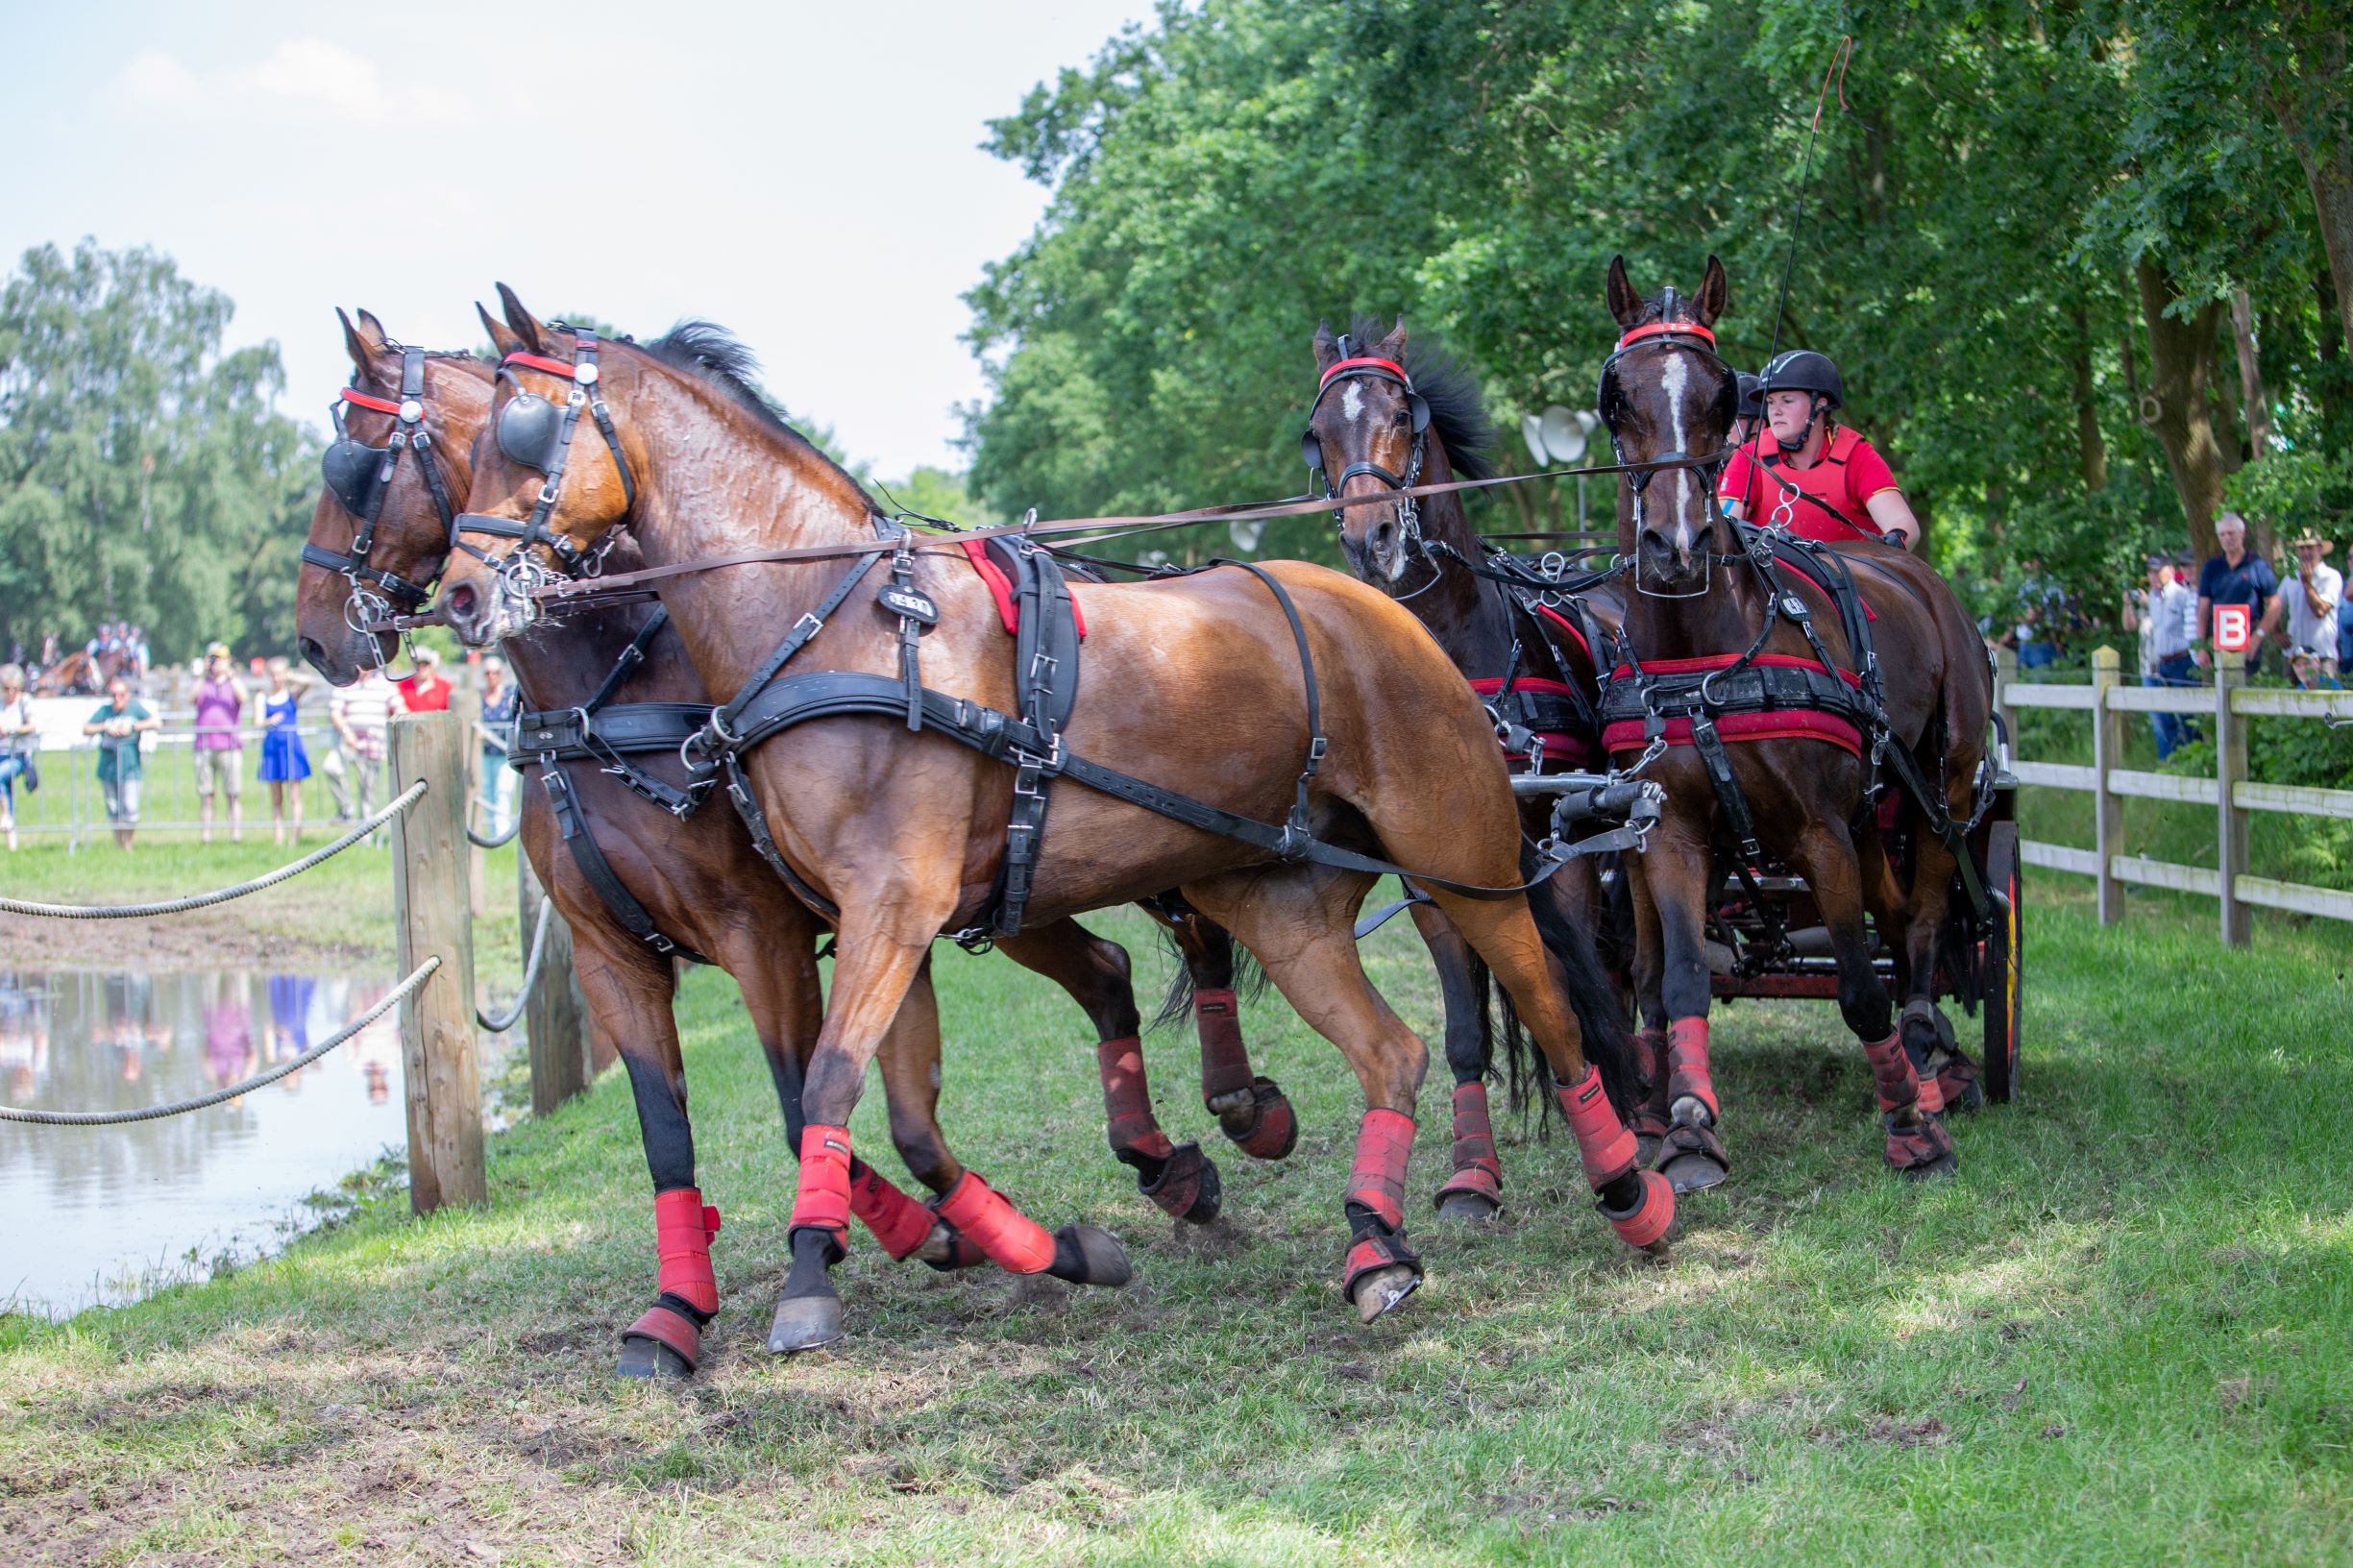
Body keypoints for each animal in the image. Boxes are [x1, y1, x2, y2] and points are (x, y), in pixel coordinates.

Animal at [294, 308, 1298, 1365]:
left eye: (355, 461)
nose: (317, 634)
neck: (615, 698)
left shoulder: (766, 932)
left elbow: (801, 1103)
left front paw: (880, 1247)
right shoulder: (616, 952)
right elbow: (673, 1132)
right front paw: (682, 1307)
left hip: (1135, 842)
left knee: (1200, 927)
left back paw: (1242, 1111)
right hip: (1018, 890)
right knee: (1109, 971)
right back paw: (1168, 1167)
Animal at [423, 283, 1675, 1328]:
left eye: (519, 433)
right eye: (461, 447)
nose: (463, 592)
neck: (840, 623)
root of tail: (1385, 612)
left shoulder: (873, 913)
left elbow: (826, 1083)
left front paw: (810, 1278)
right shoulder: (883, 921)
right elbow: (900, 1111)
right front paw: (1050, 1250)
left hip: (1460, 856)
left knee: (1551, 1008)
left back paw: (1631, 1185)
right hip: (1278, 893)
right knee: (1393, 1051)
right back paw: (1375, 1243)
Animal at [1298, 322, 1741, 1190]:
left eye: (1401, 413)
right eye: (1319, 431)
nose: (1371, 539)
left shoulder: (1550, 852)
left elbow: (1562, 990)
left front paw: (1611, 1122)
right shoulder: (1427, 877)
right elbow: (1465, 1025)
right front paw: (1472, 1172)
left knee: (1640, 964)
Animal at [1600, 250, 1985, 1167]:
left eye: (1718, 395)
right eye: (1619, 396)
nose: (1675, 546)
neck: (1704, 658)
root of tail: (1908, 570)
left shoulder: (1818, 831)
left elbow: (1857, 987)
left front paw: (1908, 1128)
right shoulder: (1674, 830)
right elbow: (1680, 978)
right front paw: (1689, 1127)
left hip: (1940, 788)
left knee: (1923, 919)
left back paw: (1928, 1054)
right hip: (1870, 812)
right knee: (1895, 911)